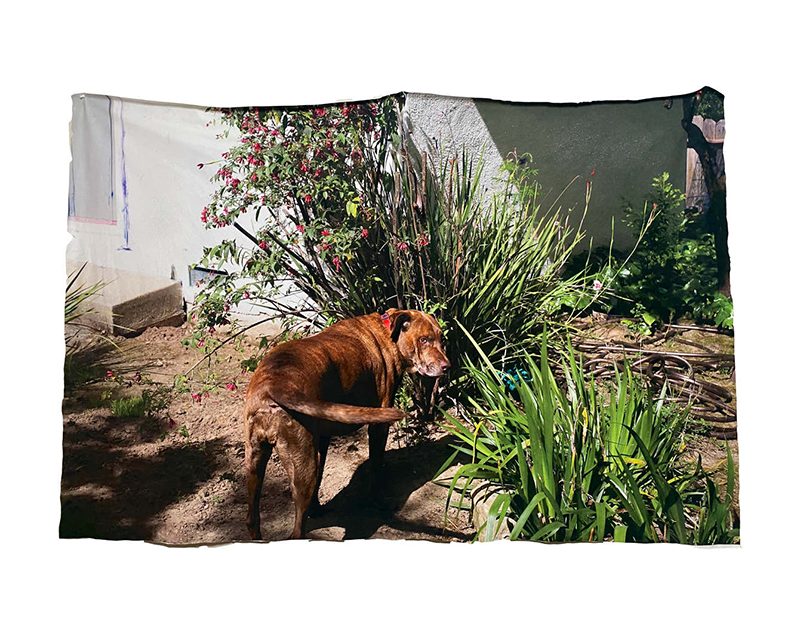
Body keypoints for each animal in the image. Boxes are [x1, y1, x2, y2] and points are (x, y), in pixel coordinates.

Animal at [244, 306, 450, 540]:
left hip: (255, 460)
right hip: (301, 467)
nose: (447, 367)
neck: (389, 332)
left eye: (442, 339)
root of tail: (273, 385)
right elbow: (376, 467)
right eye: (424, 340)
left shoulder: (322, 439)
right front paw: (376, 501)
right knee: (296, 531)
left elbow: (321, 474)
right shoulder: (378, 428)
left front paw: (316, 509)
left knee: (252, 519)